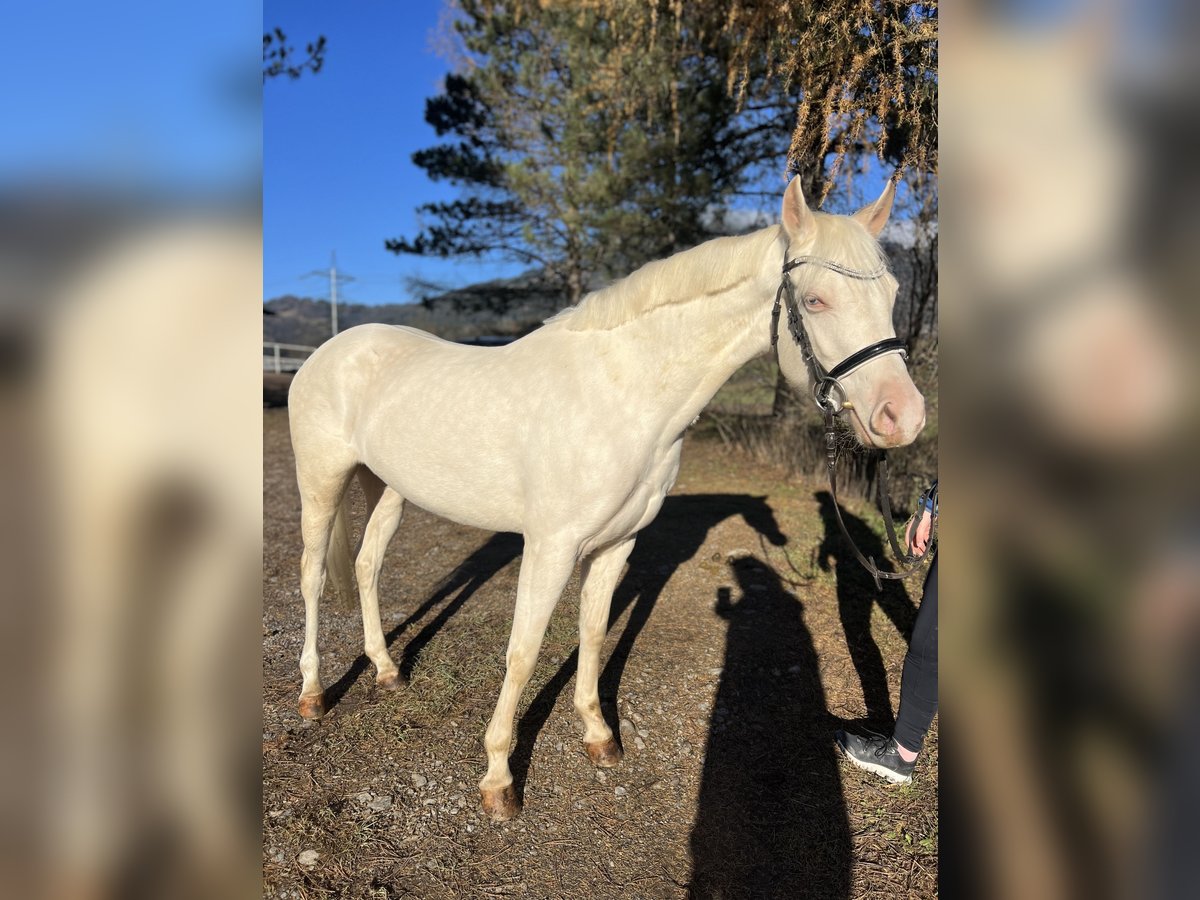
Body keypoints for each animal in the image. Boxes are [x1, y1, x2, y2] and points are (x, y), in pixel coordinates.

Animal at [285, 176, 921, 825]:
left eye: (893, 293)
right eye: (815, 301)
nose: (904, 417)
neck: (621, 395)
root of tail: (329, 350)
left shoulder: (617, 544)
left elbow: (592, 633)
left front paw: (598, 736)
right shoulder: (550, 548)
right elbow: (523, 652)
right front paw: (498, 779)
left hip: (387, 488)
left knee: (367, 565)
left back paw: (387, 671)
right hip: (322, 481)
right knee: (313, 574)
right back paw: (312, 694)